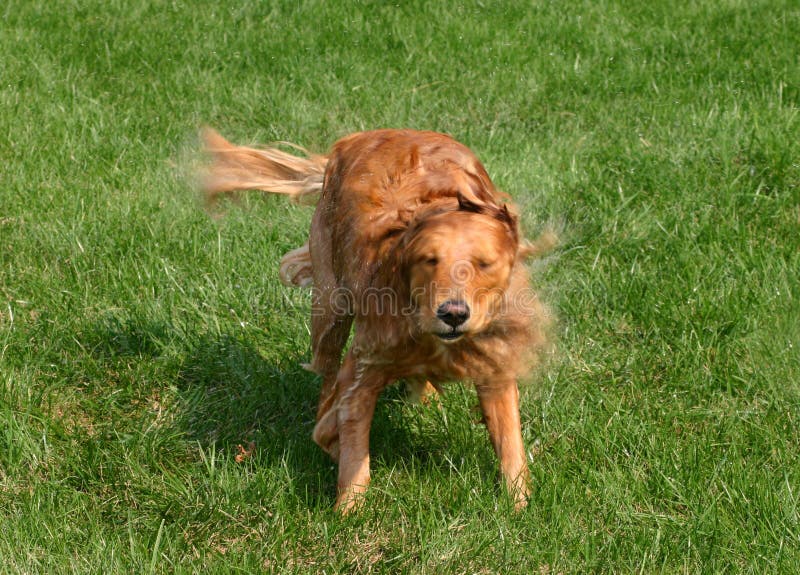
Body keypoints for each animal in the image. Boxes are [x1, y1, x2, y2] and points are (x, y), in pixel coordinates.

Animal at [202, 129, 552, 512]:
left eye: (484, 263)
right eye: (429, 259)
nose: (453, 313)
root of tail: (352, 139)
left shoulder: (496, 363)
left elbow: (510, 441)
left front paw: (519, 506)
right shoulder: (365, 366)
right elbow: (348, 442)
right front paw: (347, 511)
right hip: (330, 307)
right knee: (327, 374)